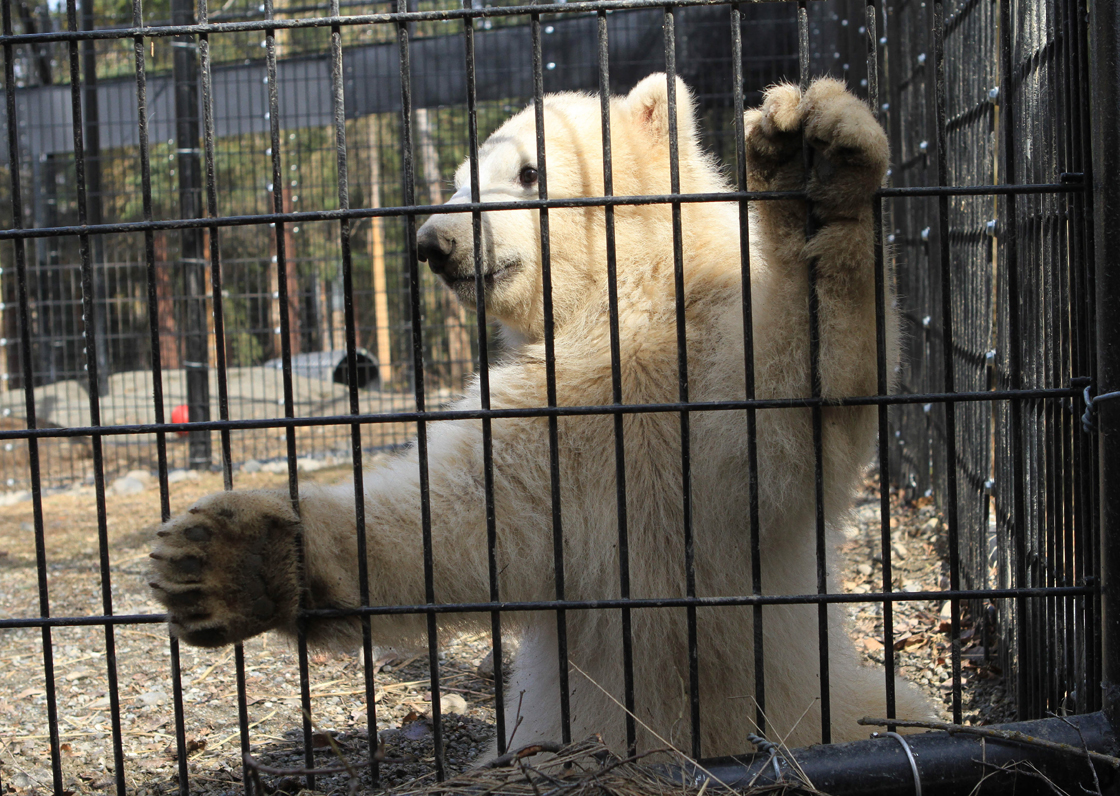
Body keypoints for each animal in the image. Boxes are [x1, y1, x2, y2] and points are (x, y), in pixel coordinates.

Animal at [149, 74, 935, 757]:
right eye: (461, 180)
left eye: (529, 173)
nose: (434, 244)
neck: (624, 310)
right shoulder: (546, 418)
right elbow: (457, 524)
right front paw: (224, 560)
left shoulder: (699, 359)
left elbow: (787, 400)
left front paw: (814, 163)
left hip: (832, 703)